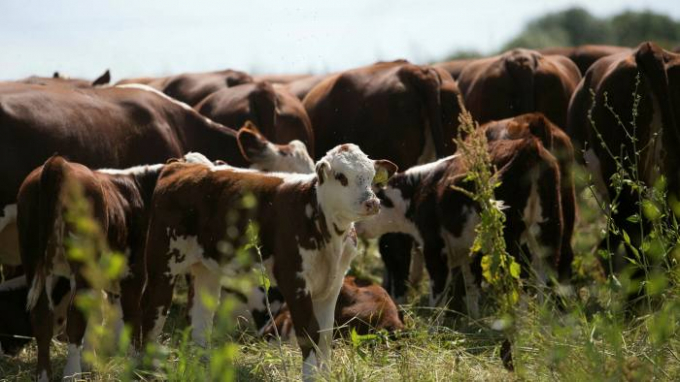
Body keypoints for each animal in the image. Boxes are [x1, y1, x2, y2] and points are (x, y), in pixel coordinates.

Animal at [143, 143, 398, 380]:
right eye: (341, 176)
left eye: (371, 177)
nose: (372, 203)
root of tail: (180, 165)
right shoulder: (294, 280)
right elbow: (308, 332)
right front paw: (310, 376)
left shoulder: (332, 283)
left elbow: (325, 334)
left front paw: (325, 375)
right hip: (162, 263)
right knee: (153, 307)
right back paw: (145, 366)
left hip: (205, 268)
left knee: (200, 317)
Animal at [356, 137, 564, 316]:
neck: (418, 190)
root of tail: (529, 145)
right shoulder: (468, 250)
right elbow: (472, 286)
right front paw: (474, 320)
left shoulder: (434, 247)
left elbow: (438, 293)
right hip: (549, 231)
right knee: (545, 278)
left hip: (509, 240)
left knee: (518, 282)